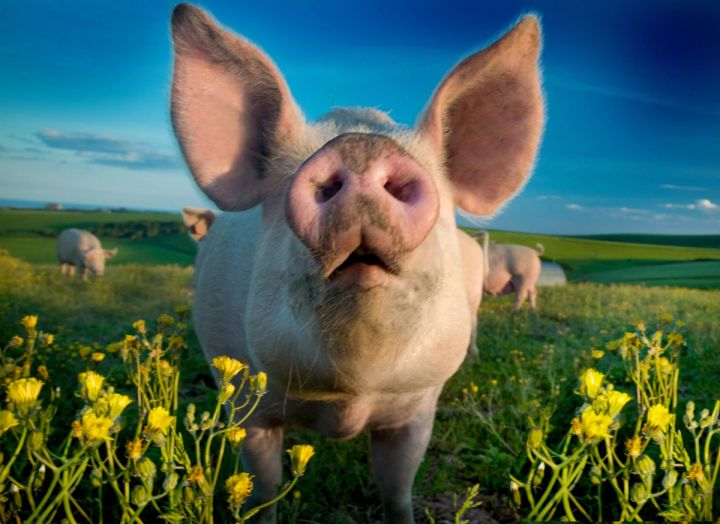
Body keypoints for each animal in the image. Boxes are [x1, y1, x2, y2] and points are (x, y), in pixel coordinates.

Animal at [170, 5, 544, 522]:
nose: (360, 149)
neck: (349, 398)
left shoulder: (417, 411)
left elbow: (397, 489)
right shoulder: (248, 402)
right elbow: (264, 488)